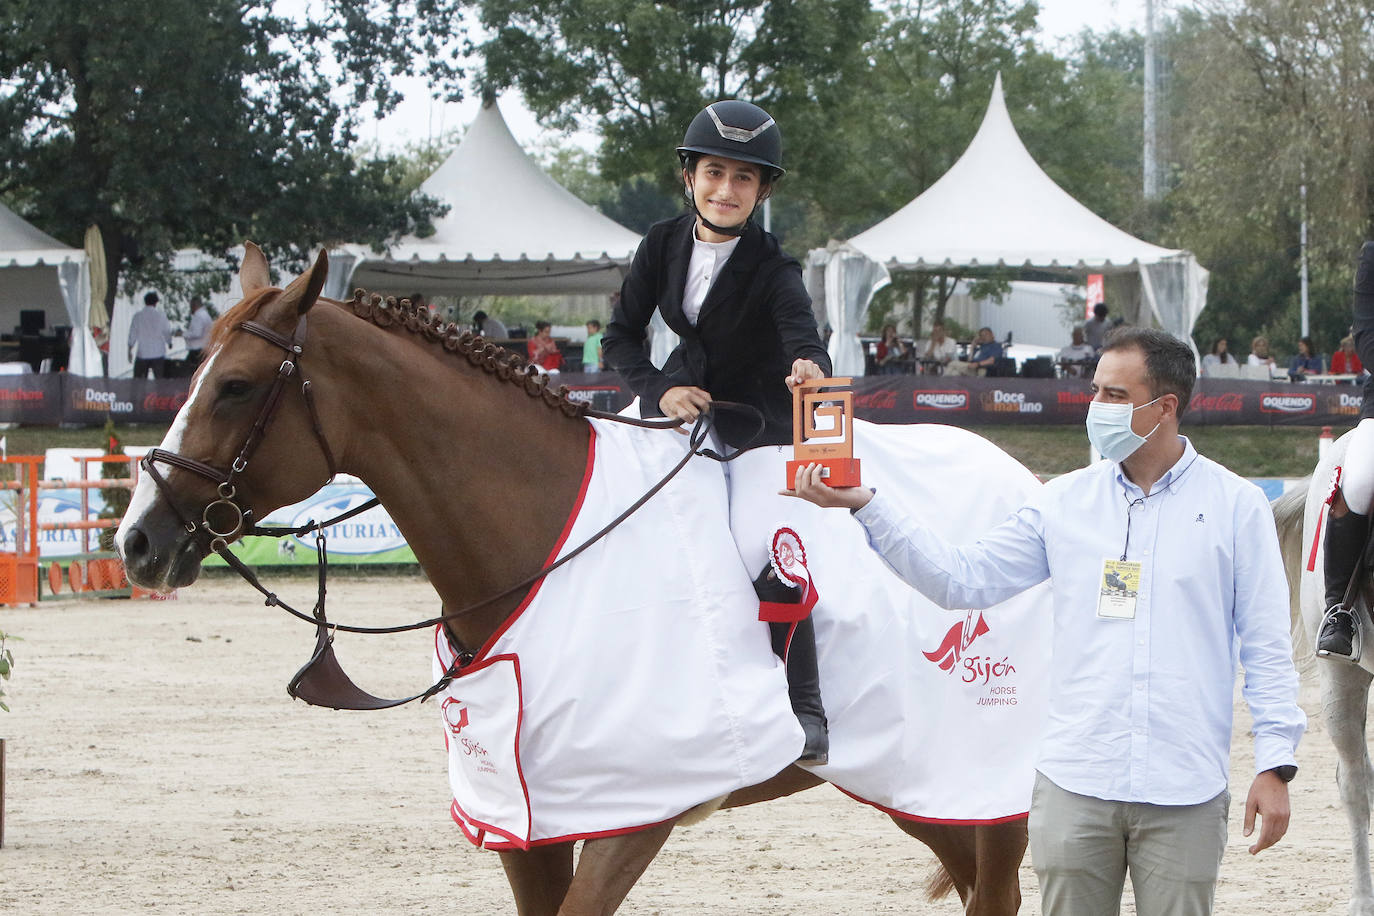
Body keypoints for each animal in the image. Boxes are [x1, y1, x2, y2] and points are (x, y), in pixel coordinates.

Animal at [115, 245, 1022, 916]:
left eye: (234, 388)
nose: (137, 541)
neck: (543, 541)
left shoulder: (638, 812)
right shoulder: (531, 821)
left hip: (986, 779)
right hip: (917, 781)